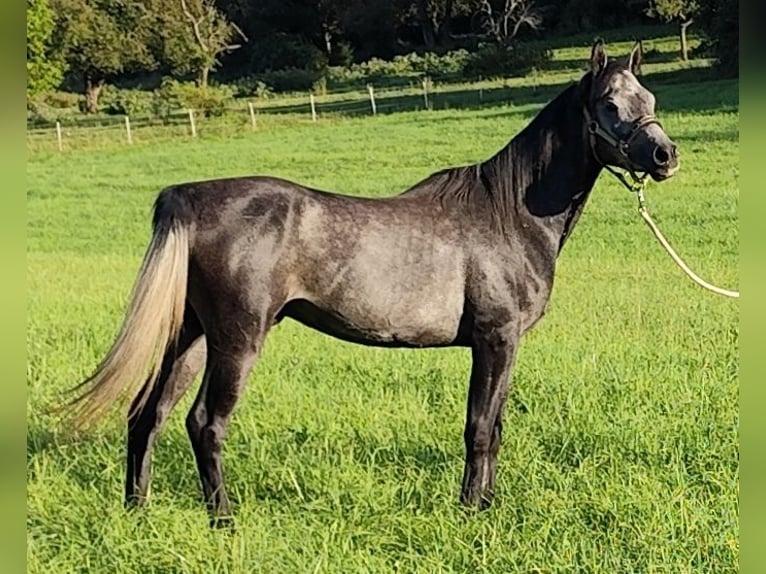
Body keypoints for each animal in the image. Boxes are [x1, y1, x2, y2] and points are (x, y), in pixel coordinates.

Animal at [69, 39, 680, 528]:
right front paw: (469, 512)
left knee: (148, 414)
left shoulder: (503, 347)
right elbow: (480, 428)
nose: (665, 155)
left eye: (650, 102)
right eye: (609, 105)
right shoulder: (495, 339)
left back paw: (137, 509)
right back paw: (224, 519)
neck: (508, 213)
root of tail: (188, 196)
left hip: (192, 335)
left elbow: (497, 427)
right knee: (205, 424)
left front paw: (487, 505)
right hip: (237, 341)